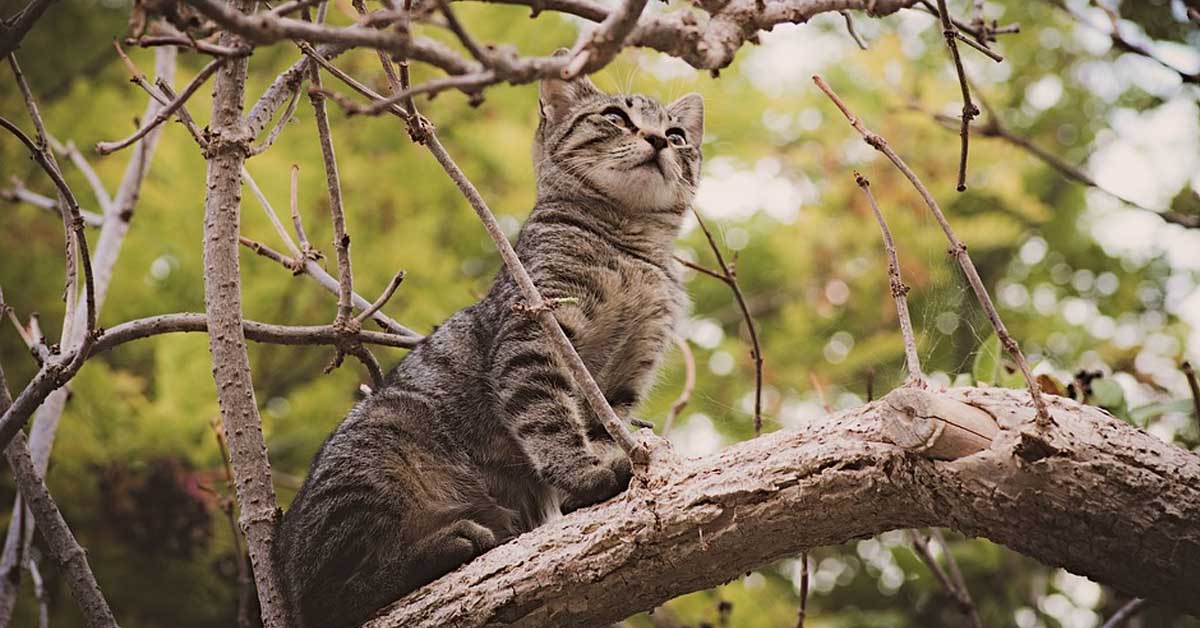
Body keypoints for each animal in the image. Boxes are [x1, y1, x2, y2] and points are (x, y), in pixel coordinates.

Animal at [272, 69, 700, 628]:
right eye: (615, 117)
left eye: (677, 135)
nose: (656, 140)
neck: (631, 249)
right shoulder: (536, 331)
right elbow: (550, 420)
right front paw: (583, 474)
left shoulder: (625, 376)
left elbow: (600, 426)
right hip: (377, 457)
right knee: (333, 598)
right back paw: (447, 544)